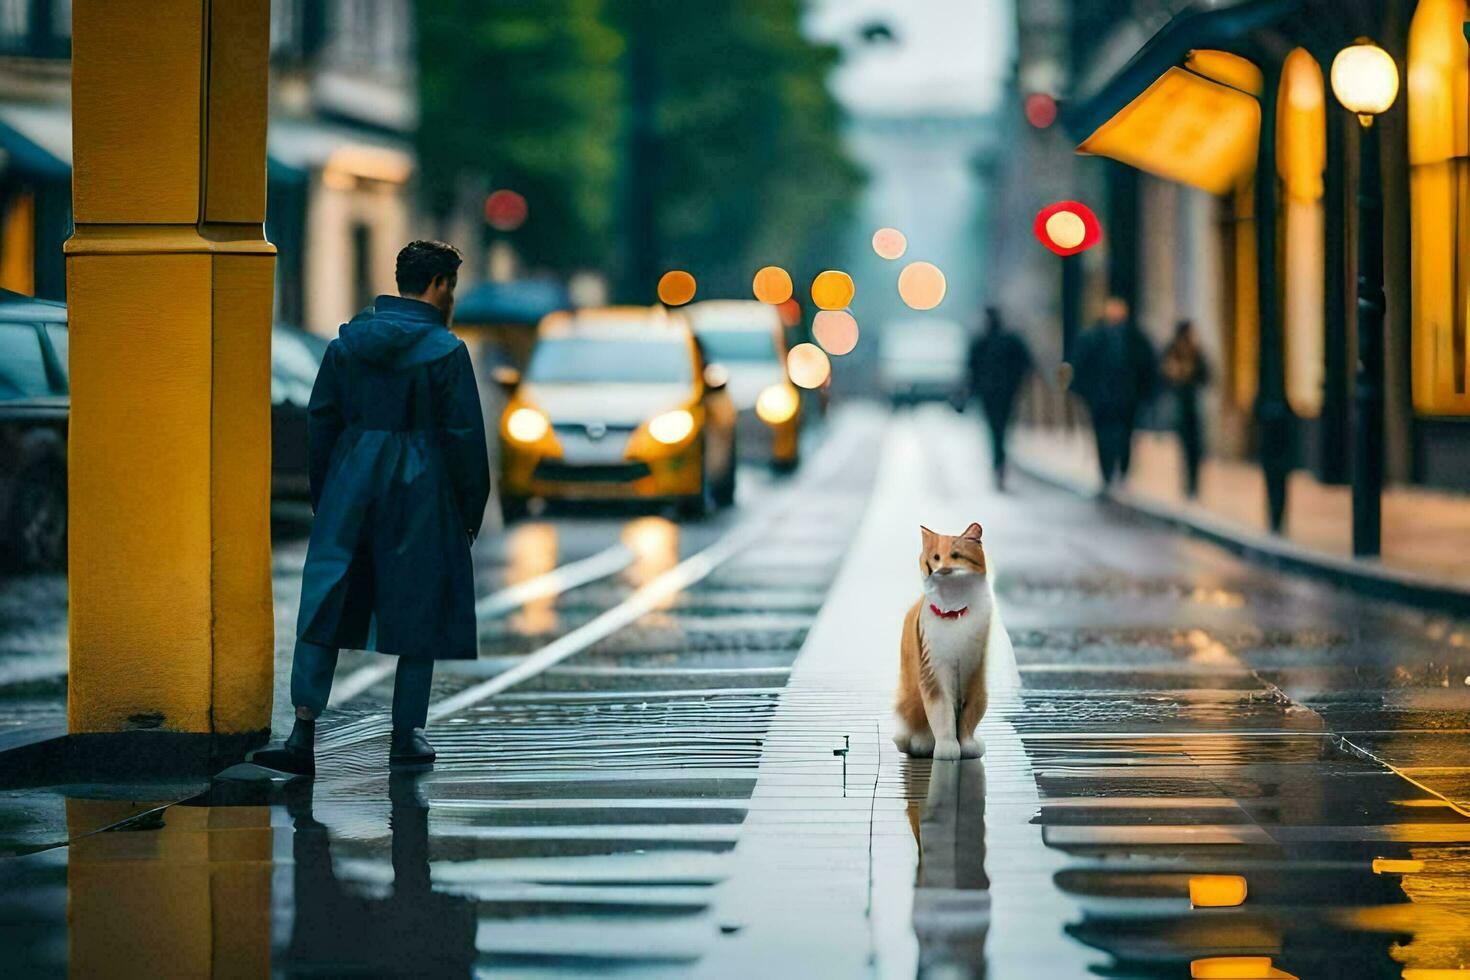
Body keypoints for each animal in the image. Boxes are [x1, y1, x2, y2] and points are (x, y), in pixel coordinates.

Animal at [887, 525, 993, 764]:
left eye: (955, 556)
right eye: (935, 558)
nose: (942, 570)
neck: (953, 612)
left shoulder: (976, 672)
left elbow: (971, 713)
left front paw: (967, 746)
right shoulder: (933, 670)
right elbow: (941, 713)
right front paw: (947, 748)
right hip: (911, 691)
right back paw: (921, 742)